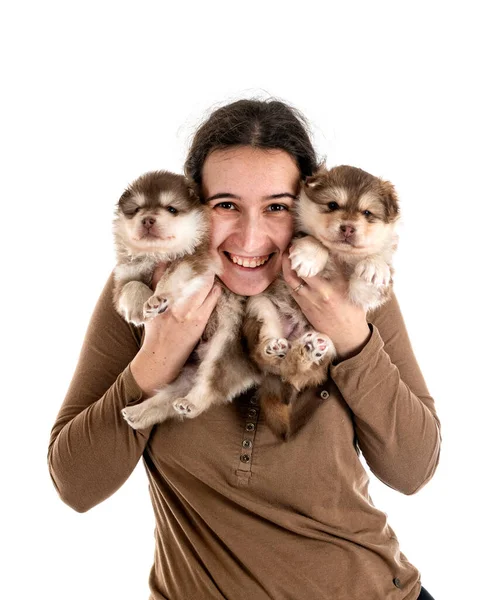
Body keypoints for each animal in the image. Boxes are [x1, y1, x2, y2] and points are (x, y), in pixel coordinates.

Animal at [114, 170, 262, 432]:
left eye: (171, 209)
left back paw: (191, 403)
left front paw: (157, 298)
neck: (157, 254)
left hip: (223, 350)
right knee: (166, 398)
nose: (148, 220)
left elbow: (172, 275)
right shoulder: (124, 275)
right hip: (186, 372)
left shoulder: (195, 260)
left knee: (209, 385)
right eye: (137, 209)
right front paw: (139, 308)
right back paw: (138, 413)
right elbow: (132, 286)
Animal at [245, 166, 398, 438]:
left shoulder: (361, 296)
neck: (341, 255)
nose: (348, 228)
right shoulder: (290, 241)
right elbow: (315, 240)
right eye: (332, 205)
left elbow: (373, 269)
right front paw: (309, 256)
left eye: (367, 213)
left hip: (330, 349)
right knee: (264, 356)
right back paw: (273, 347)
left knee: (295, 372)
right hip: (260, 305)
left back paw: (307, 349)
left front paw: (374, 267)